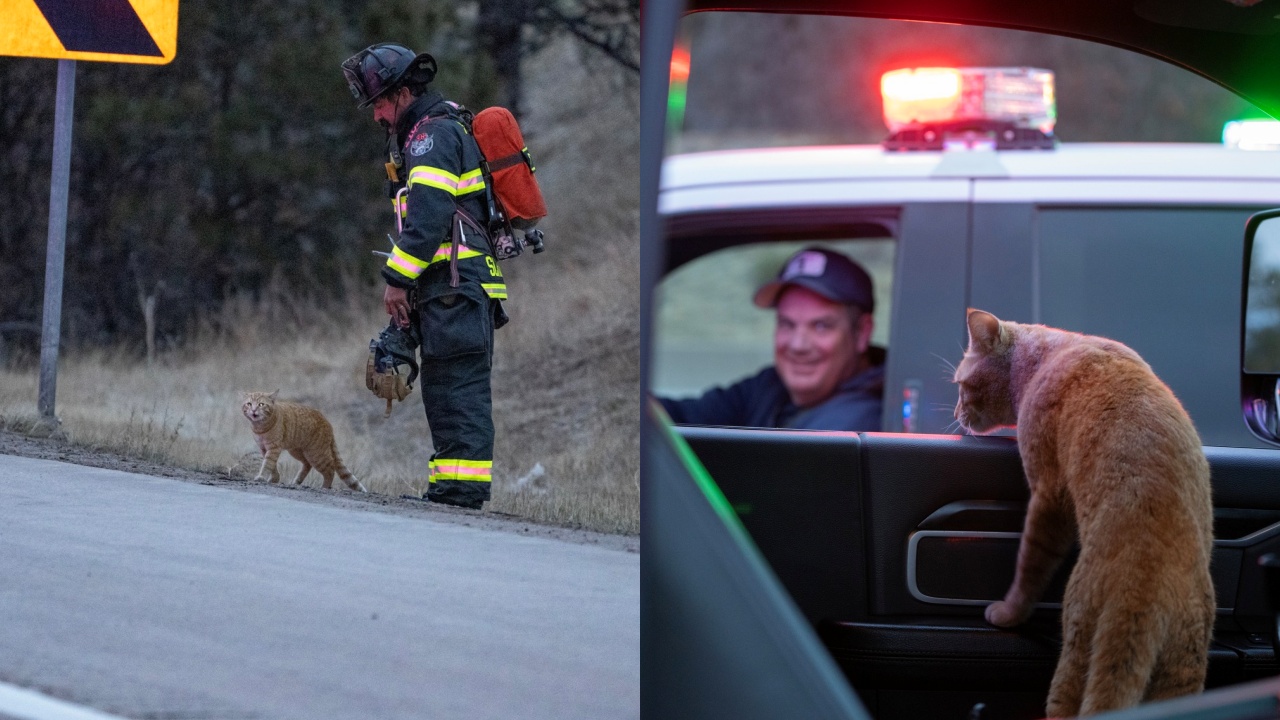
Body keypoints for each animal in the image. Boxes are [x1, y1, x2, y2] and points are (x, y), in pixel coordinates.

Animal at [957, 307, 1213, 712]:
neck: (1047, 356)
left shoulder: (1048, 492)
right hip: (1180, 678)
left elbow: (1029, 567)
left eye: (961, 386)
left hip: (1077, 645)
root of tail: (1146, 591)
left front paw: (1009, 612)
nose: (957, 414)